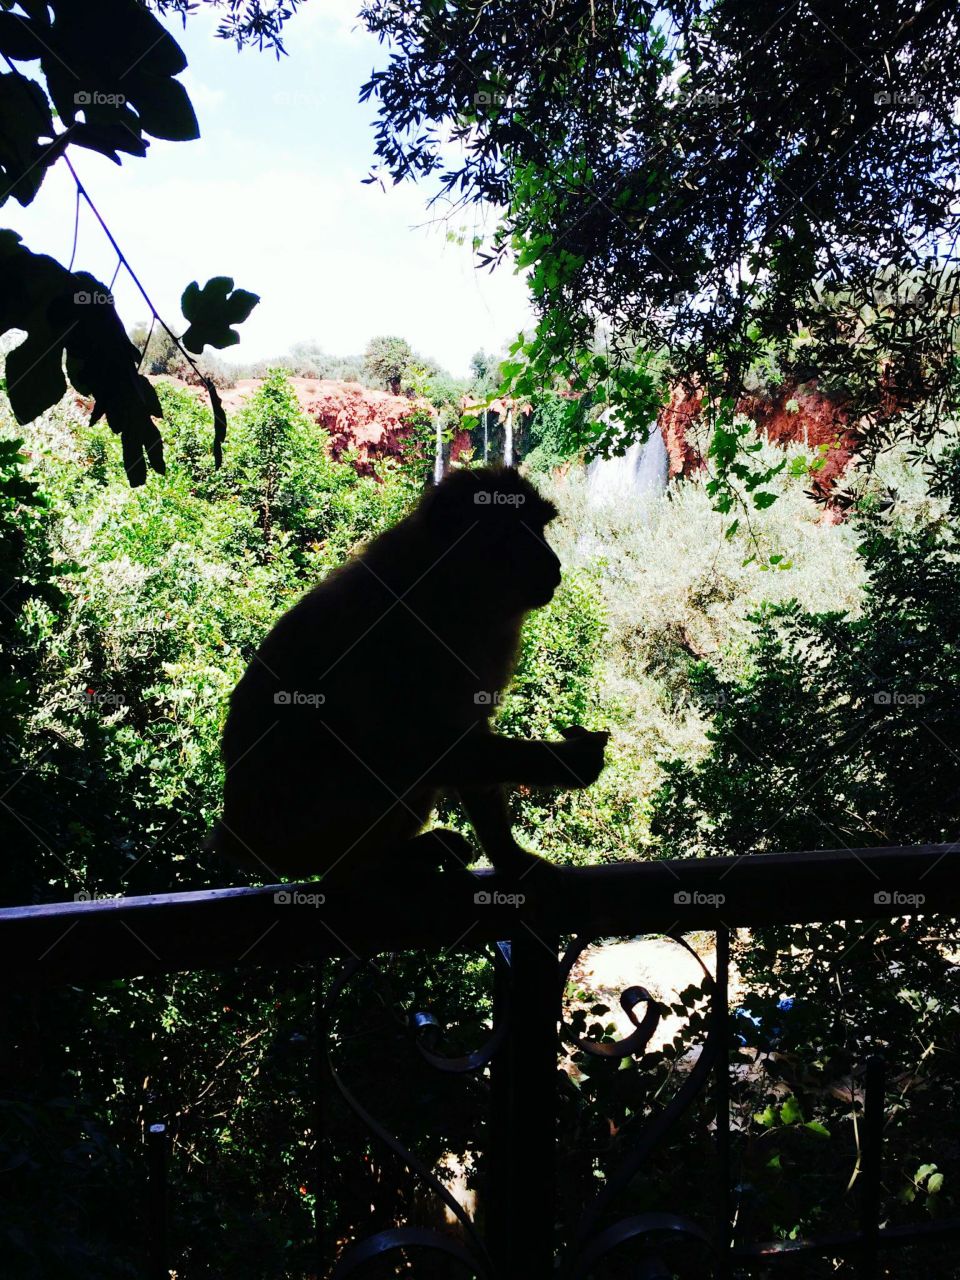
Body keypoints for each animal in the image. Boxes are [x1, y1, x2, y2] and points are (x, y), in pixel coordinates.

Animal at [212, 466, 608, 885]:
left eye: (539, 526)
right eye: (519, 531)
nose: (555, 563)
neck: (450, 592)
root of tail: (235, 838)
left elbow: (469, 730)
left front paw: (510, 858)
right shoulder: (395, 639)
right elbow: (412, 748)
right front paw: (565, 761)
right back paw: (373, 866)